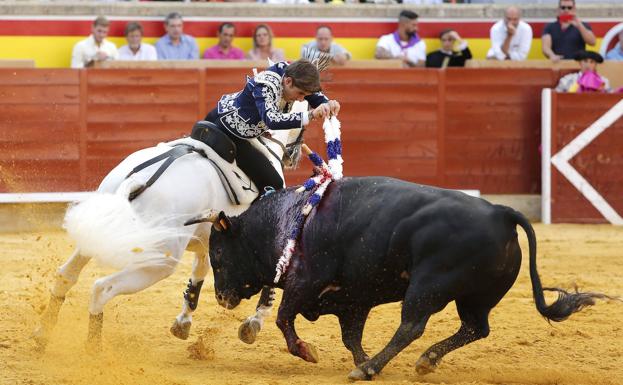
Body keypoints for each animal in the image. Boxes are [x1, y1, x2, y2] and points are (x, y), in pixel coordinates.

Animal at [32, 120, 304, 352]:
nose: (294, 156)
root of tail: (138, 181)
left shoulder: (208, 242)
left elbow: (198, 275)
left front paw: (183, 323)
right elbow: (268, 285)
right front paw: (252, 325)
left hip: (99, 231)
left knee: (66, 275)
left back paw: (42, 335)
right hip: (160, 262)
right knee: (101, 289)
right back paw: (93, 352)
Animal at [200, 176, 608, 380]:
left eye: (217, 255)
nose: (221, 297)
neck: (289, 221)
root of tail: (501, 213)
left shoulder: (305, 283)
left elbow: (285, 319)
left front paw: (310, 352)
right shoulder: (354, 299)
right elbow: (350, 336)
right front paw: (360, 357)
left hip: (427, 286)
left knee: (412, 326)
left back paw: (371, 368)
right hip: (476, 296)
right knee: (475, 328)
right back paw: (421, 361)